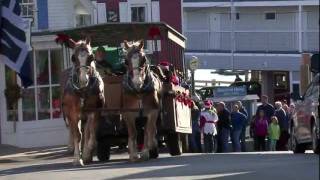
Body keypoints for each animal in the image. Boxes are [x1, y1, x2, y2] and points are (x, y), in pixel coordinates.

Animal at [59, 38, 104, 166]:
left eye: (91, 57)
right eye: (73, 58)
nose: (84, 80)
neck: (83, 90)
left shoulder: (94, 111)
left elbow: (91, 132)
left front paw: (87, 152)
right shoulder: (73, 114)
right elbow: (77, 135)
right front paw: (77, 159)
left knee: (86, 131)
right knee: (75, 131)